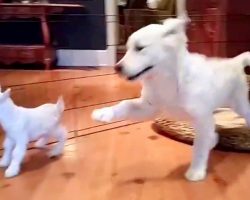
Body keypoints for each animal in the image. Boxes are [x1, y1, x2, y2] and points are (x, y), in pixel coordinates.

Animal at [93, 16, 250, 181]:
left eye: (140, 48)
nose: (117, 68)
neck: (164, 78)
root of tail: (234, 61)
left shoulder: (201, 117)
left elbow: (199, 146)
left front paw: (196, 170)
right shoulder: (148, 107)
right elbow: (125, 104)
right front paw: (105, 113)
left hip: (238, 103)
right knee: (211, 133)